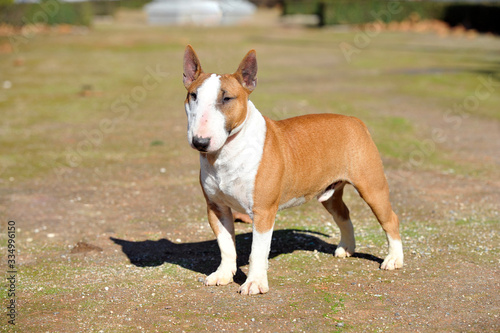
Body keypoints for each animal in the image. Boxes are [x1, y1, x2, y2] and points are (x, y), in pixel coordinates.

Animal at [182, 44, 404, 294]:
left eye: (227, 98)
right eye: (193, 96)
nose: (200, 141)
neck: (226, 152)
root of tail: (355, 121)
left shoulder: (263, 211)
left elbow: (257, 252)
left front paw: (254, 283)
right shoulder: (216, 208)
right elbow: (226, 245)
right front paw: (223, 274)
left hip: (372, 187)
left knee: (390, 219)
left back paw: (394, 259)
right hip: (329, 193)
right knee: (343, 214)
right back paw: (346, 247)